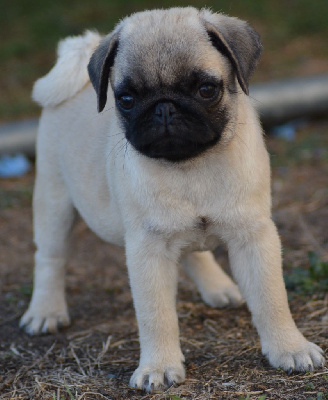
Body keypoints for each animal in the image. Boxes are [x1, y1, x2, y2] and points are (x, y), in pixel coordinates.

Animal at [21, 7, 326, 390]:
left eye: (206, 89)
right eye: (126, 99)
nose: (164, 108)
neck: (190, 168)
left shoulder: (254, 237)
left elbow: (272, 299)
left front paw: (289, 348)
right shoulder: (148, 250)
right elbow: (156, 314)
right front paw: (159, 367)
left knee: (195, 252)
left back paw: (218, 287)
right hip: (53, 199)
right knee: (50, 258)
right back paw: (45, 311)